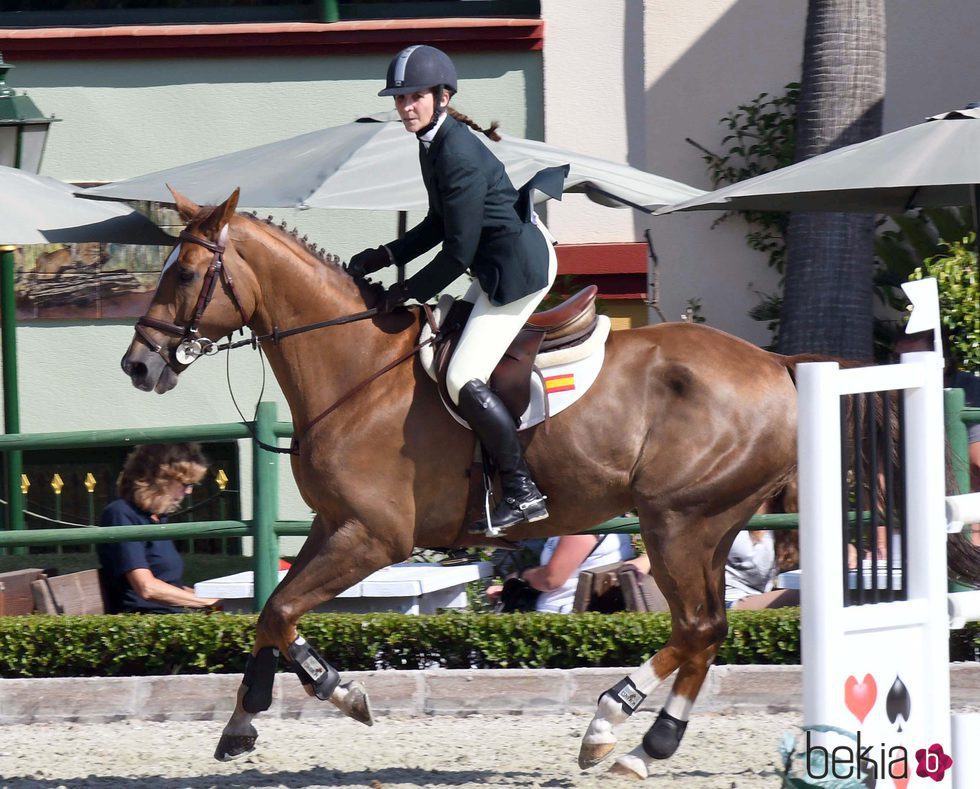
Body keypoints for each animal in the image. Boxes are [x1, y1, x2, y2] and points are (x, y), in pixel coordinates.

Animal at [118, 189, 804, 776]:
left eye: (184, 275)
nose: (137, 365)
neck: (358, 370)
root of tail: (775, 363)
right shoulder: (334, 524)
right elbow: (269, 613)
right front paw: (247, 721)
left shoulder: (374, 538)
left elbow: (282, 610)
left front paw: (339, 691)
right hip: (711, 526)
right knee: (708, 628)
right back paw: (646, 743)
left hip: (677, 523)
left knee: (695, 626)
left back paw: (612, 727)